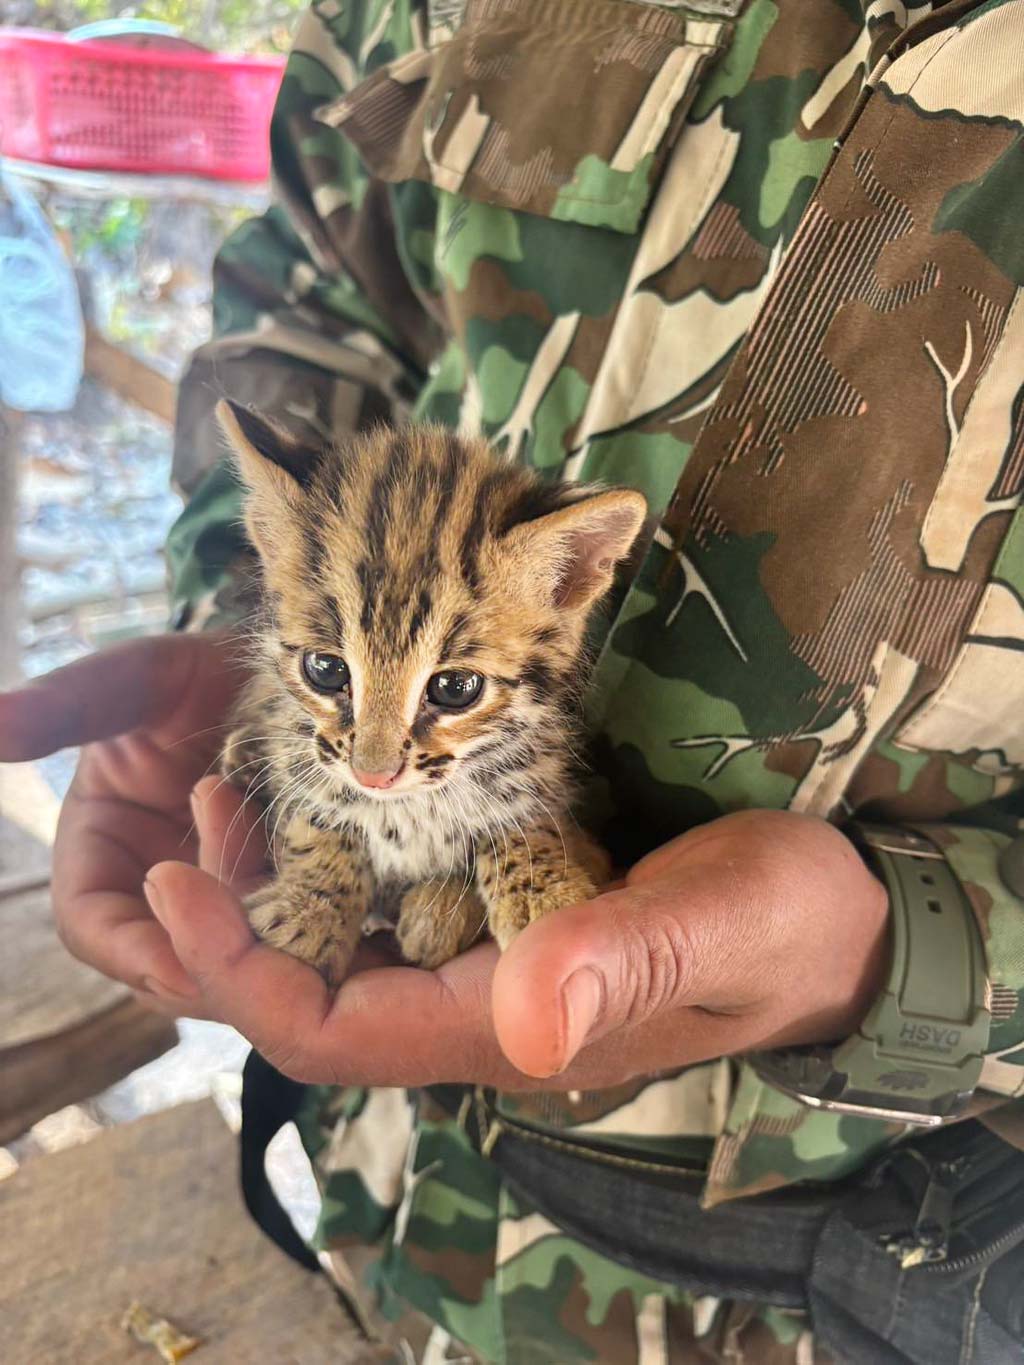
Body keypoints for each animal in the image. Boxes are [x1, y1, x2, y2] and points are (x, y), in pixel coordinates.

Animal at [216, 400, 646, 986]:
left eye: (454, 688)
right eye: (324, 669)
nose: (373, 776)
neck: (410, 806)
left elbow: (526, 820)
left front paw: (534, 894)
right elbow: (315, 811)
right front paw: (311, 909)